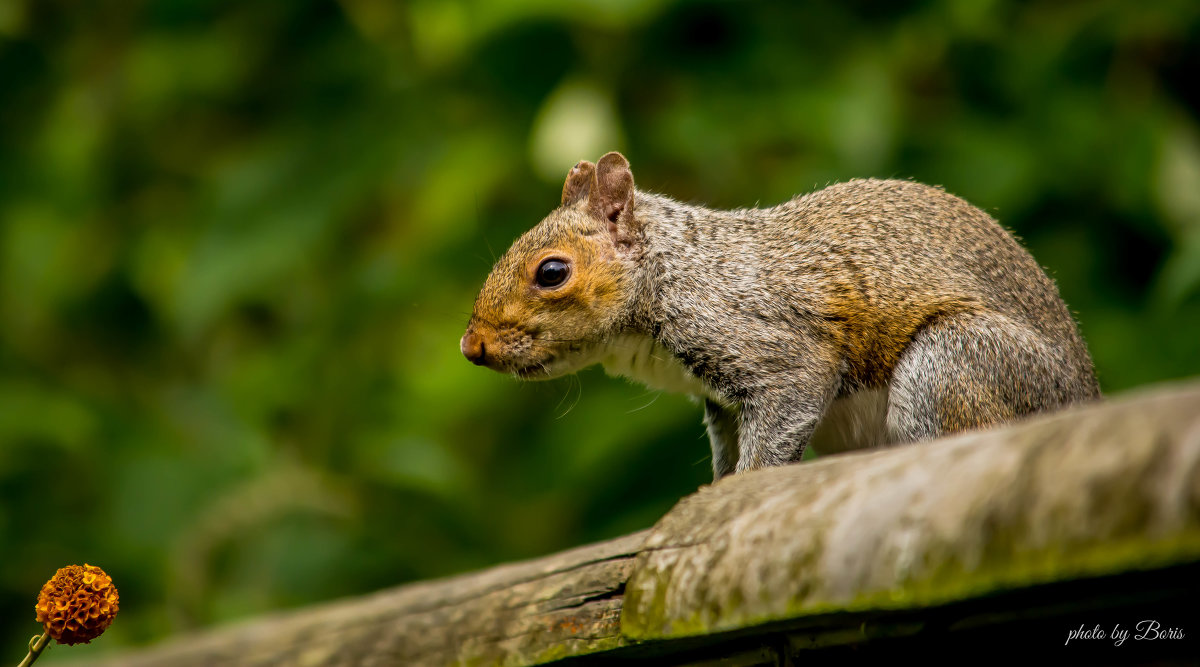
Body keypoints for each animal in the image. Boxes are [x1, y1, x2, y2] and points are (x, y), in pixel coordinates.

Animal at [456, 151, 1099, 479]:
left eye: (552, 272)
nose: (471, 347)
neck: (672, 273)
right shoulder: (719, 403)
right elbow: (726, 451)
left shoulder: (763, 340)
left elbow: (781, 416)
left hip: (958, 366)